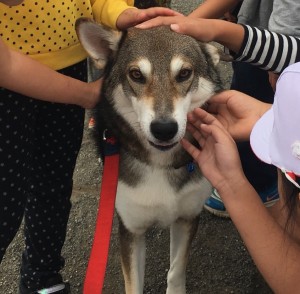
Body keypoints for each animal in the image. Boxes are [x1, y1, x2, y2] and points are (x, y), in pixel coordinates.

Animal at [76, 19, 226, 294]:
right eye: (136, 74)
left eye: (184, 73)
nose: (164, 129)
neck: (160, 164)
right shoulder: (131, 229)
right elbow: (133, 284)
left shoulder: (187, 217)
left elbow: (176, 271)